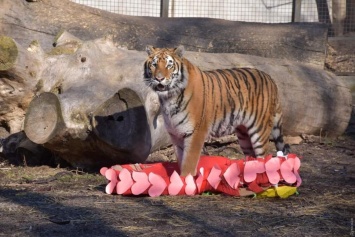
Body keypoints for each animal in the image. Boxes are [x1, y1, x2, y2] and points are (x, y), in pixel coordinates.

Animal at [143, 45, 290, 177]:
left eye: (169, 65)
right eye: (154, 65)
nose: (159, 78)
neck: (169, 98)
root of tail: (270, 79)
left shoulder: (195, 132)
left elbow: (188, 162)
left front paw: (185, 181)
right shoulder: (176, 134)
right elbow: (181, 160)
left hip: (259, 130)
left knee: (263, 157)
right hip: (243, 134)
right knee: (251, 156)